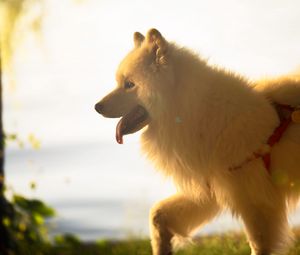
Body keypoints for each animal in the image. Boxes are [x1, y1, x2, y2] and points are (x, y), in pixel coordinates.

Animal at [95, 28, 300, 254]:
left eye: (129, 84)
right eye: (119, 82)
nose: (97, 106)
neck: (198, 113)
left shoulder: (255, 202)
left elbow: (258, 246)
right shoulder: (208, 189)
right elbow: (157, 213)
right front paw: (162, 245)